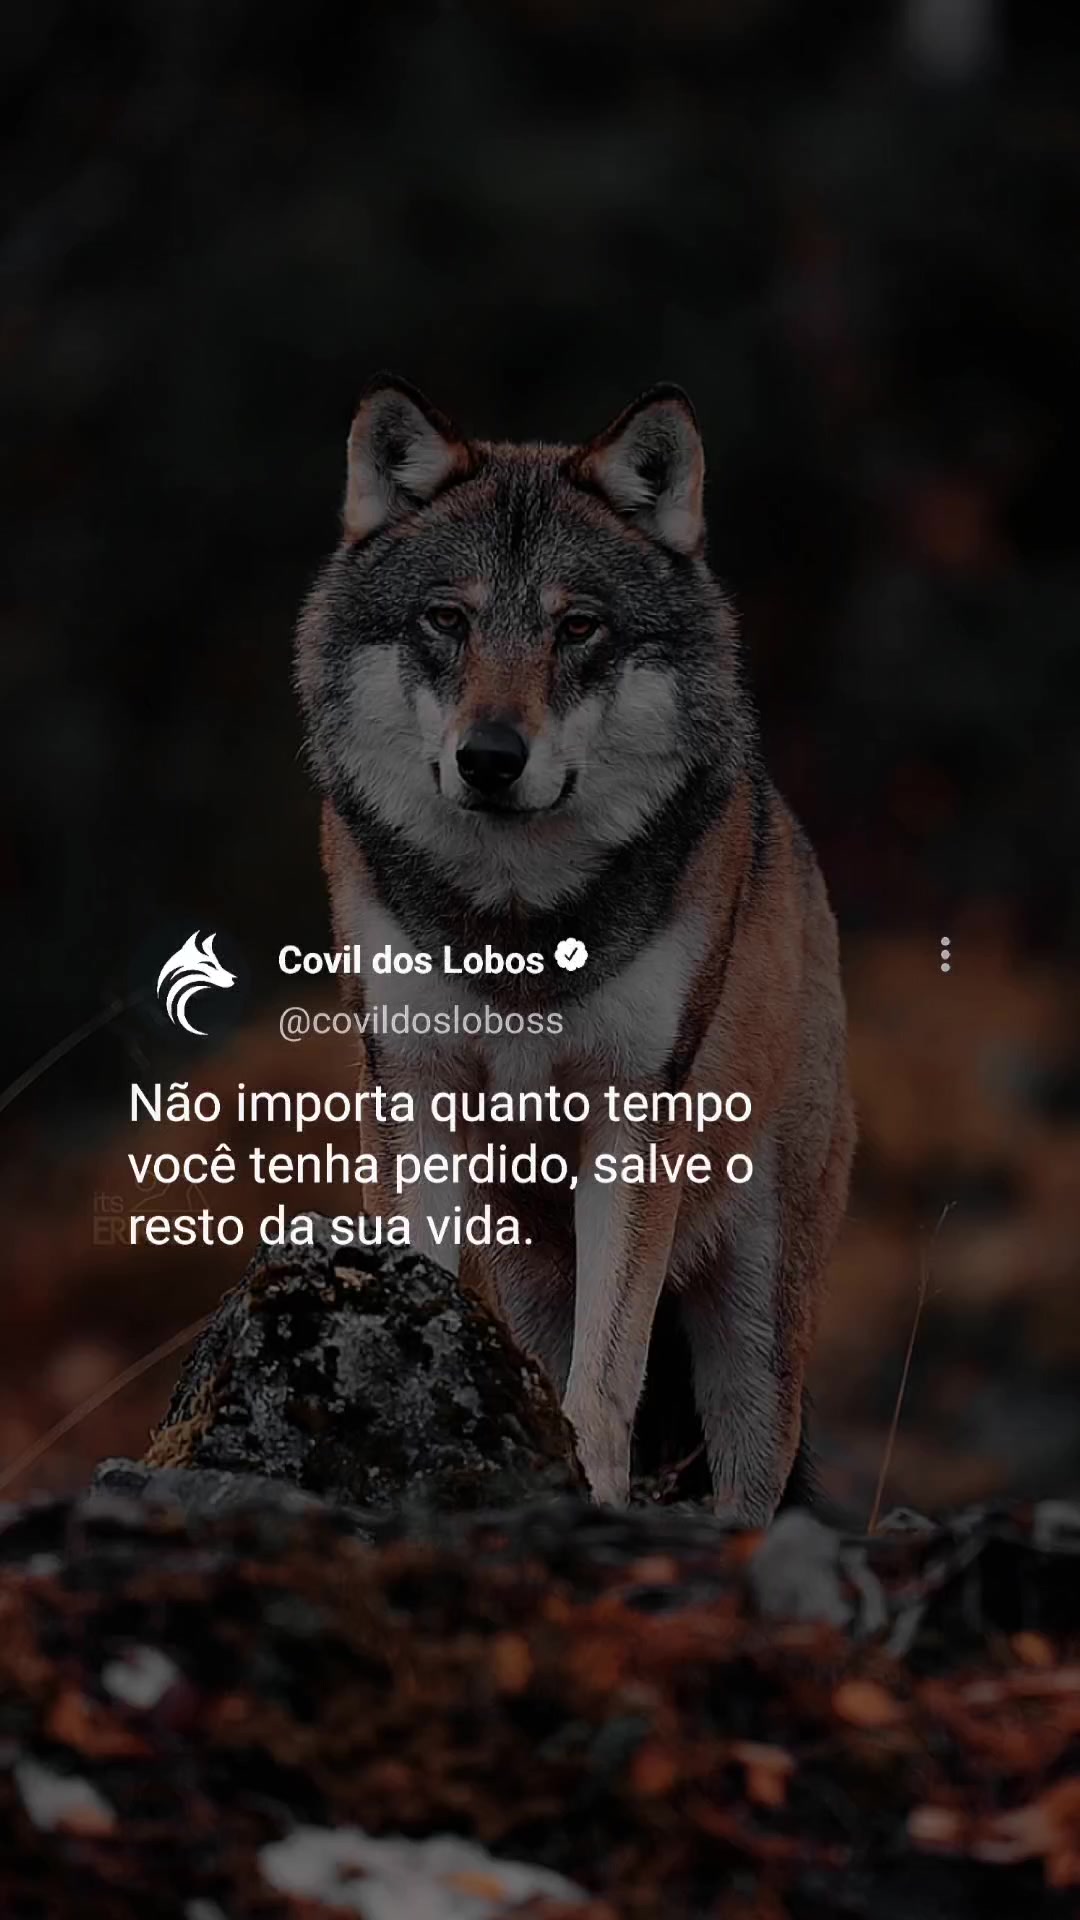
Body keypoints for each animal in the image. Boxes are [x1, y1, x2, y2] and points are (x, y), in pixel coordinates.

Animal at [295, 375, 855, 1522]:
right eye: (448, 619)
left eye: (579, 627)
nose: (490, 757)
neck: (518, 922)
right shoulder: (414, 1090)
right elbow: (425, 1278)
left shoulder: (632, 1117)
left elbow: (607, 1378)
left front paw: (589, 1490)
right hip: (527, 1267)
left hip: (753, 1331)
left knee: (749, 1477)